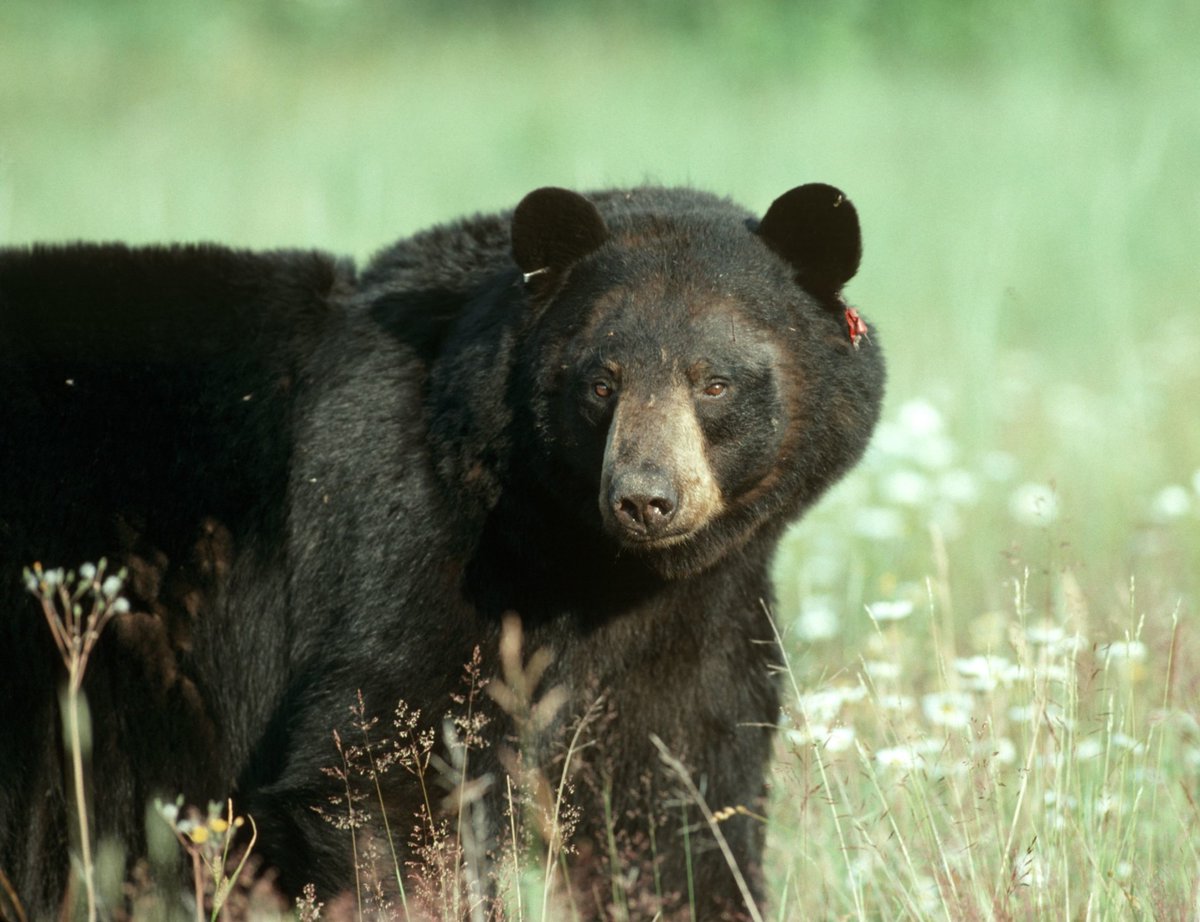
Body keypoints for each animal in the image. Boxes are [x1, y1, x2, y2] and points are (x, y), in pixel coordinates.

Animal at [0, 183, 884, 920]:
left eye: (714, 382)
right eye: (601, 381)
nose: (643, 498)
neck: (592, 564)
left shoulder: (703, 611)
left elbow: (679, 801)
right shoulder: (410, 548)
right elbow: (383, 772)